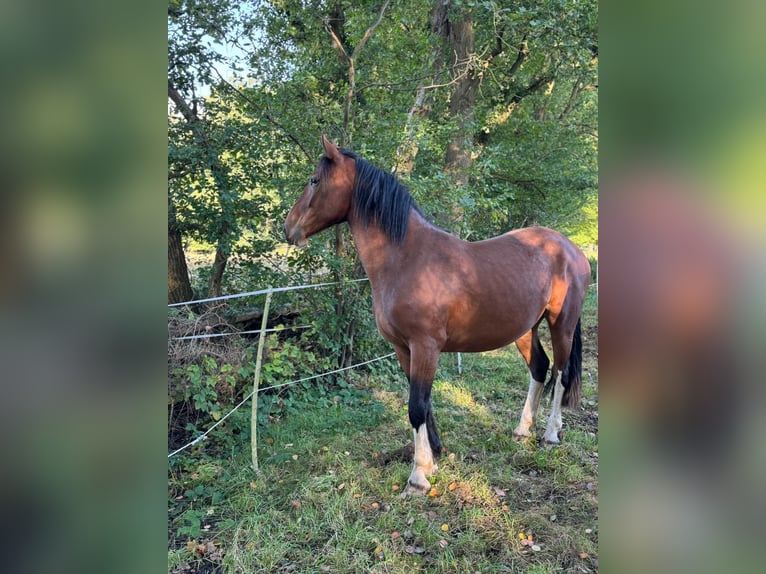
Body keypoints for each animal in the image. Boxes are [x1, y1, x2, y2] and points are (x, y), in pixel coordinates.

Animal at [284, 135, 592, 496]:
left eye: (314, 180)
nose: (288, 228)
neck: (407, 258)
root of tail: (572, 250)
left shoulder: (425, 346)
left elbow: (416, 406)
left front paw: (418, 477)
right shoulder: (404, 348)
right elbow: (423, 402)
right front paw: (434, 455)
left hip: (562, 325)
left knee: (561, 373)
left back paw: (551, 434)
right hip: (525, 329)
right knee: (540, 368)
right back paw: (521, 430)